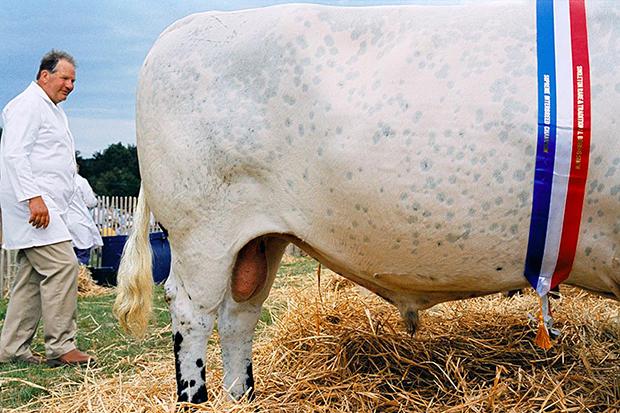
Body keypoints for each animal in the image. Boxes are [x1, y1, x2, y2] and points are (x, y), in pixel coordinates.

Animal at [114, 0, 616, 406]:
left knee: (239, 314)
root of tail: (182, 27)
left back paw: (242, 400)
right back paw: (196, 398)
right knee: (193, 313)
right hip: (201, 230)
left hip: (260, 238)